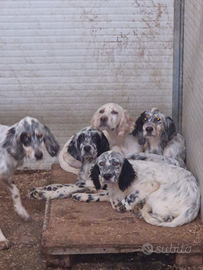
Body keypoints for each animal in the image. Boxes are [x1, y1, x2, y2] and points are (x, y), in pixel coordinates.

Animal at [0, 117, 59, 250]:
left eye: (40, 135)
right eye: (25, 137)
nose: (39, 155)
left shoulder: (6, 176)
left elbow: (16, 191)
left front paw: (21, 211)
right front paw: (1, 239)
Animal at [72, 151, 200, 227]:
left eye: (116, 163)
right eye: (101, 164)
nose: (107, 176)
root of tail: (194, 206)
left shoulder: (150, 184)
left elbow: (126, 200)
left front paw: (124, 205)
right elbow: (106, 196)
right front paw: (82, 195)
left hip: (155, 196)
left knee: (165, 217)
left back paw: (140, 212)